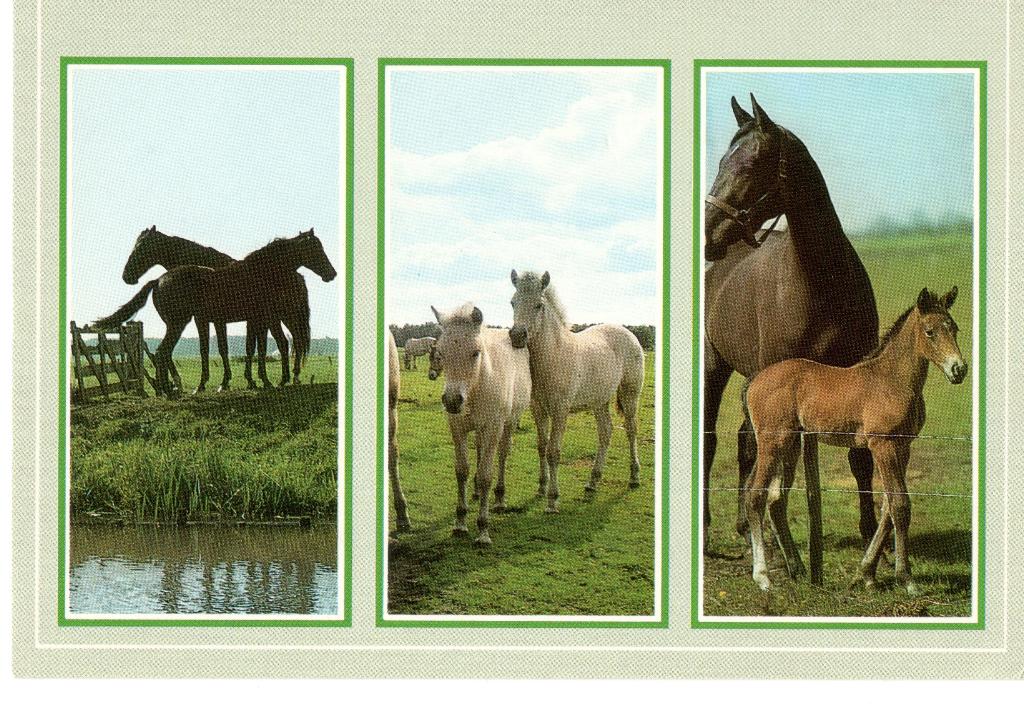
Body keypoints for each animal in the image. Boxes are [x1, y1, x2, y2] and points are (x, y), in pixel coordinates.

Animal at [94, 229, 336, 397]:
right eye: (315, 248)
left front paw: (250, 381)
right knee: (162, 352)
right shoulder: (247, 319)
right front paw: (252, 381)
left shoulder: (247, 319)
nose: (331, 274)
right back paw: (169, 390)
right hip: (178, 324)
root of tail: (158, 280)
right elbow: (235, 349)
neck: (260, 272)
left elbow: (247, 349)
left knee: (293, 342)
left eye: (142, 246)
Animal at [431, 303, 532, 545]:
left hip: (508, 424)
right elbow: (462, 470)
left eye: (476, 352)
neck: (479, 384)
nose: (452, 401)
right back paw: (476, 491)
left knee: (502, 455)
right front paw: (460, 523)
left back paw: (499, 500)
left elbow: (487, 474)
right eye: (441, 353)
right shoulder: (458, 428)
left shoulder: (493, 428)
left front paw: (483, 531)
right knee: (478, 450)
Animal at [509, 270, 644, 513]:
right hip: (600, 401)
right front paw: (541, 488)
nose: (517, 336)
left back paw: (634, 477)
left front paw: (552, 500)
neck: (555, 354)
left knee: (631, 429)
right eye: (512, 302)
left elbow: (554, 451)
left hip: (630, 394)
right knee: (606, 432)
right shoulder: (538, 409)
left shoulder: (560, 410)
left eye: (539, 305)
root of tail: (629, 333)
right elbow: (542, 446)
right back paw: (592, 481)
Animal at [703, 95, 879, 567]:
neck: (822, 283)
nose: (708, 232)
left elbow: (859, 458)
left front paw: (870, 537)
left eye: (749, 164)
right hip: (717, 370)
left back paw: (747, 528)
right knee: (715, 442)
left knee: (746, 443)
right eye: (722, 161)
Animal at [744, 287, 966, 594]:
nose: (959, 370)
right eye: (930, 331)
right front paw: (906, 579)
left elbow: (887, 508)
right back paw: (763, 577)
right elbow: (900, 505)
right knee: (755, 496)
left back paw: (798, 570)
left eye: (954, 328)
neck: (891, 380)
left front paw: (866, 574)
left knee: (775, 500)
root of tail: (754, 380)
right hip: (771, 443)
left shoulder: (903, 446)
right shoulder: (882, 445)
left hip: (788, 446)